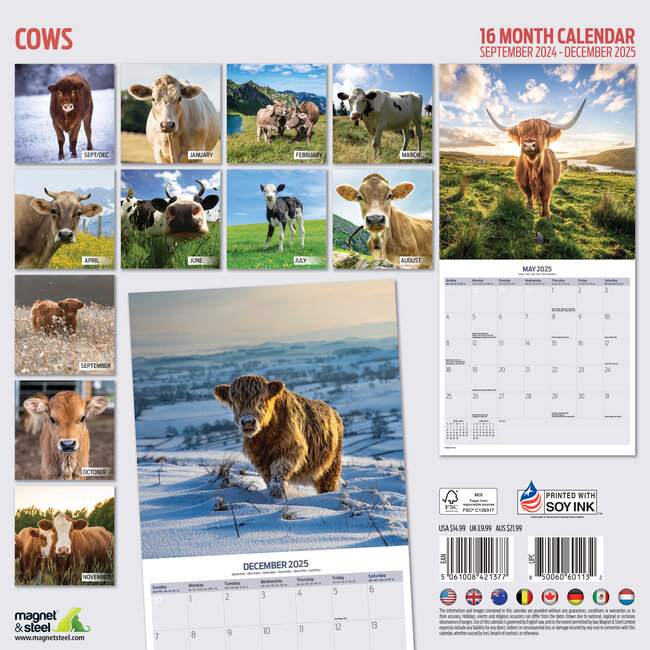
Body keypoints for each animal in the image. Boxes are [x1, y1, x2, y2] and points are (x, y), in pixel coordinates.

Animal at [214, 375, 343, 498]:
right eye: (235, 401)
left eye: (261, 399)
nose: (248, 421)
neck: (265, 435)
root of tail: (333, 413)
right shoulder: (260, 459)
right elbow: (269, 477)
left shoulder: (292, 449)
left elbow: (278, 470)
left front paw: (277, 493)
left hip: (332, 467)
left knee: (327, 485)